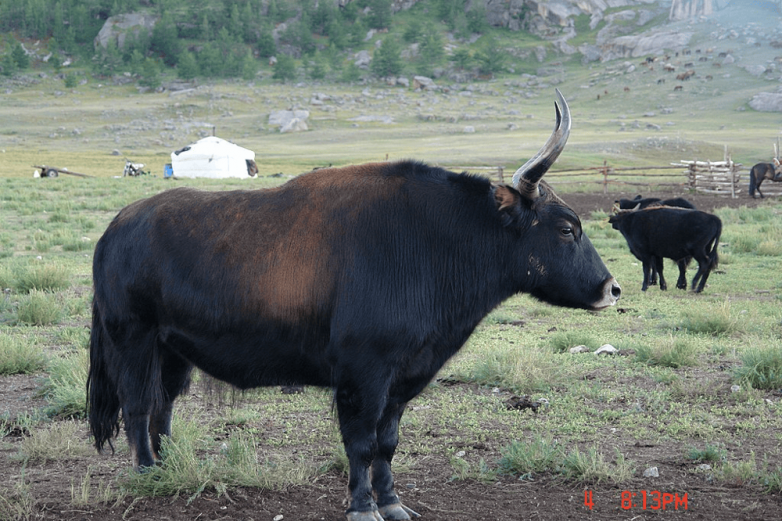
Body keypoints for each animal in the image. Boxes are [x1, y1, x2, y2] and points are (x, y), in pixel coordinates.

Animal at [89, 91, 620, 520]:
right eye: (566, 228)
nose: (611, 288)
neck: (434, 240)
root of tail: (116, 227)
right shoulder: (363, 374)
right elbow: (361, 442)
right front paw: (363, 506)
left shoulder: (403, 377)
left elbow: (387, 443)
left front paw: (393, 503)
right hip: (132, 338)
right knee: (138, 405)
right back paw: (146, 473)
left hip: (172, 350)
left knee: (163, 407)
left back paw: (170, 466)